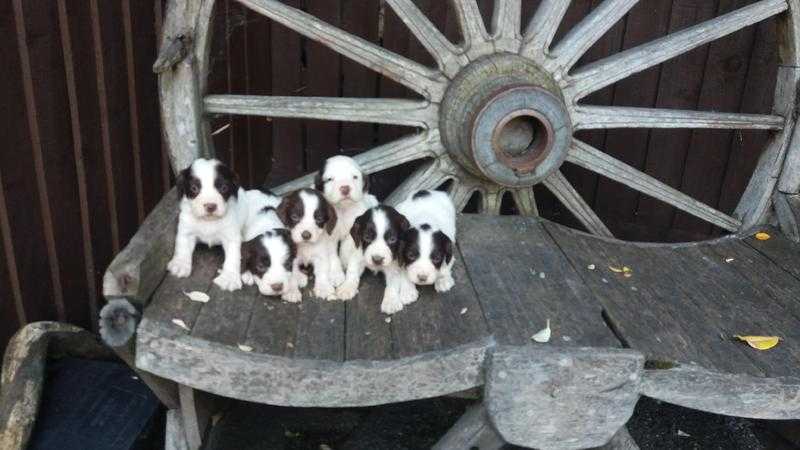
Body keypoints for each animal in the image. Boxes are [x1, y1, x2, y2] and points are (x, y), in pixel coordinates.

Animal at [167, 158, 245, 292]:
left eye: (224, 187)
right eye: (194, 188)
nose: (210, 206)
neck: (208, 221)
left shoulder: (231, 237)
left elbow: (233, 257)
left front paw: (229, 277)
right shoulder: (186, 231)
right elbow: (182, 247)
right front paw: (180, 264)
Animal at [312, 156, 378, 300]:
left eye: (355, 177)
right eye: (330, 179)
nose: (345, 188)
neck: (343, 209)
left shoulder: (357, 238)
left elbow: (352, 262)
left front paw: (348, 287)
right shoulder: (328, 236)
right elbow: (332, 255)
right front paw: (336, 275)